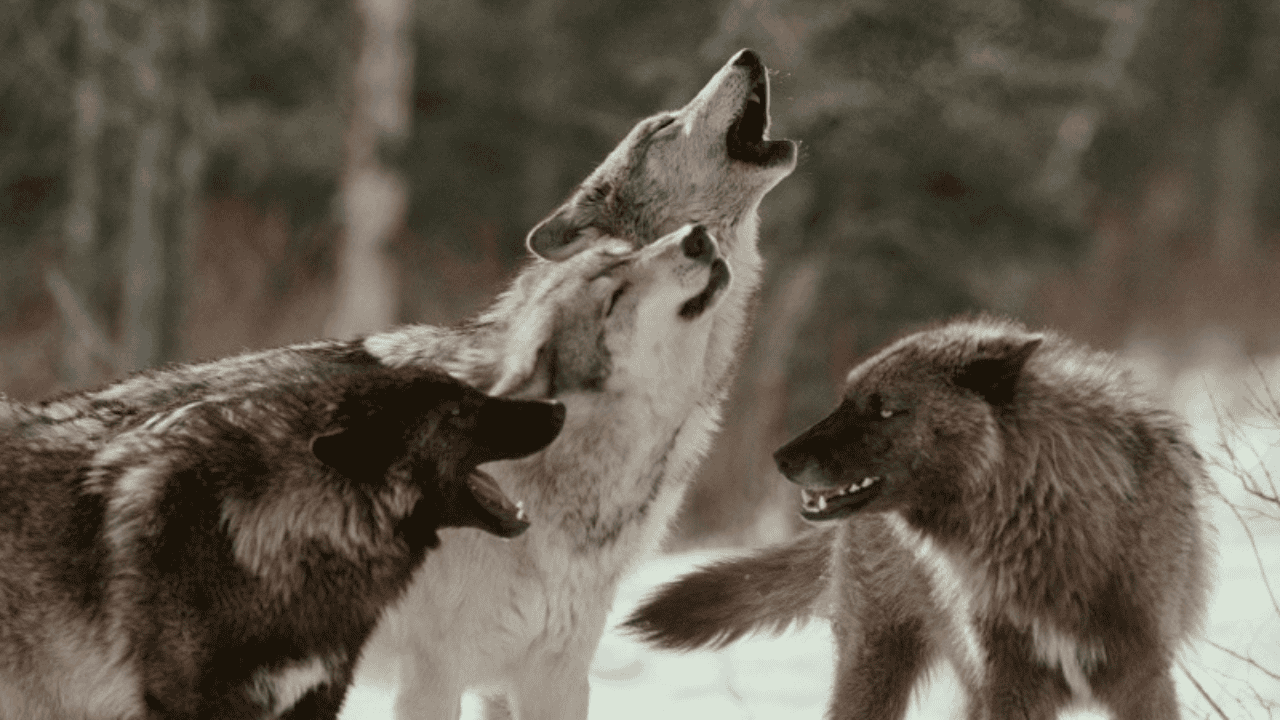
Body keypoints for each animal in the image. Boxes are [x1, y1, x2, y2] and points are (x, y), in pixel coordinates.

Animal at [626, 316, 1213, 720]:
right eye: (846, 399)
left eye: (886, 408)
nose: (781, 458)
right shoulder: (1008, 686)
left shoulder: (1144, 680)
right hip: (875, 668)